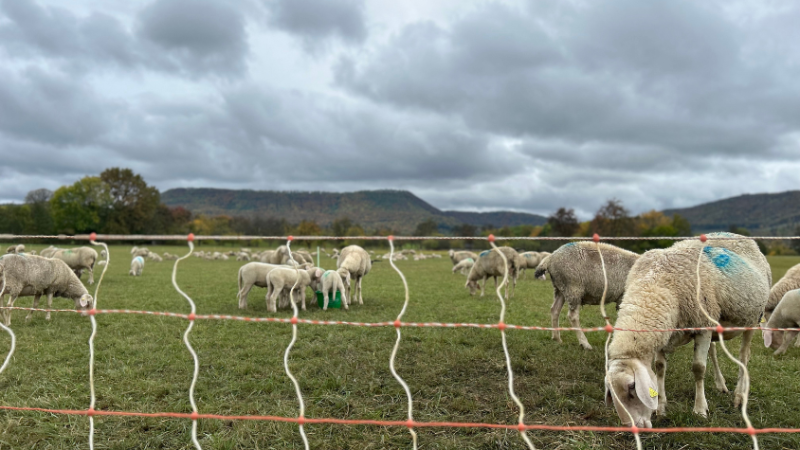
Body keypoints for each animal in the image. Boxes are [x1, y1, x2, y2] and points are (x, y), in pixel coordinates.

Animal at [608, 232, 772, 428]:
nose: (631, 427)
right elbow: (660, 367)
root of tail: (739, 236)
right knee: (713, 351)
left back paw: (739, 396)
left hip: (752, 319)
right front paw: (661, 408)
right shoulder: (666, 331)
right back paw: (721, 384)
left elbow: (698, 368)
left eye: (632, 387)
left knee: (744, 356)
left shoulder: (702, 327)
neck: (655, 285)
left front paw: (700, 410)